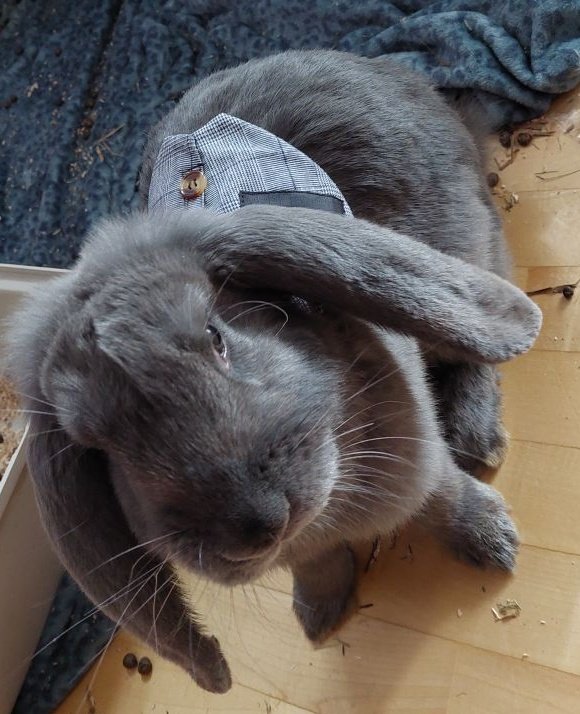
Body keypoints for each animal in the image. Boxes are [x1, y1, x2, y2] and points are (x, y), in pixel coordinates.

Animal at [7, 50, 542, 694]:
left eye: (217, 338)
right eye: (100, 445)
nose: (260, 522)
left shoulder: (420, 462)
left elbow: (442, 496)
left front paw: (491, 540)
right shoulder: (305, 547)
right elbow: (315, 563)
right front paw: (318, 615)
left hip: (466, 246)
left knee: (479, 331)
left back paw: (478, 440)